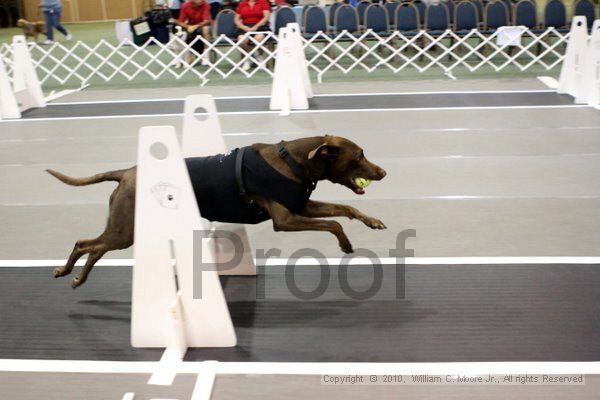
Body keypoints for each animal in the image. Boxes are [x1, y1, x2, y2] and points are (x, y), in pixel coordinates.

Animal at [45, 134, 384, 288]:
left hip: (123, 228)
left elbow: (345, 208)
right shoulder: (286, 219)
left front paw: (371, 222)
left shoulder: (302, 205)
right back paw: (68, 272)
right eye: (359, 156)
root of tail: (126, 172)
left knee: (94, 247)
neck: (294, 161)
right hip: (124, 230)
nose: (382, 172)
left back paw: (76, 277)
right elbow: (332, 224)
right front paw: (345, 243)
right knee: (84, 244)